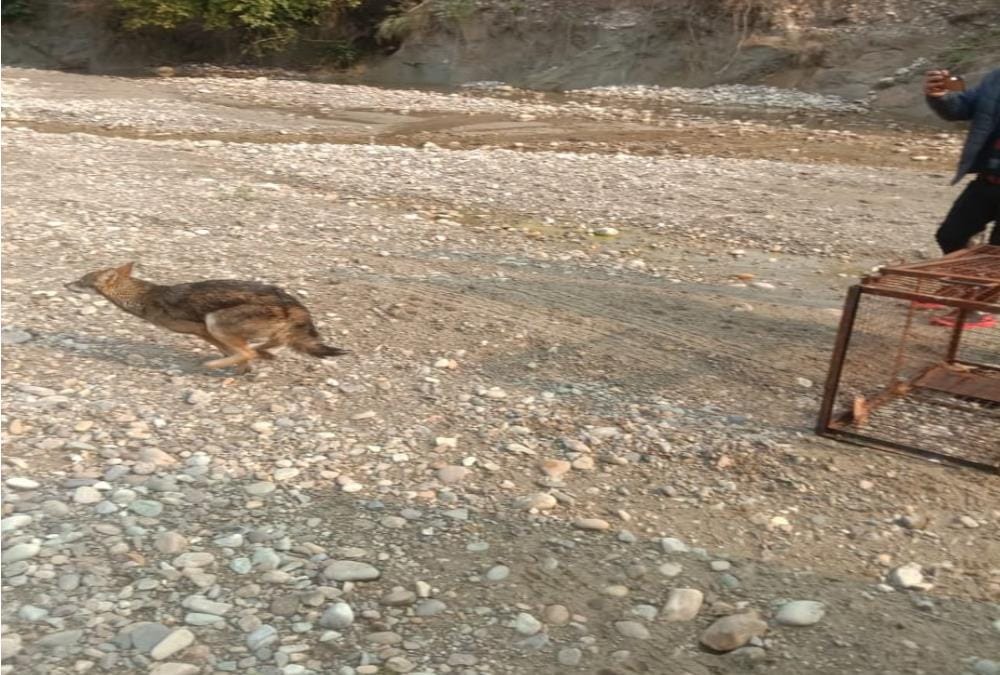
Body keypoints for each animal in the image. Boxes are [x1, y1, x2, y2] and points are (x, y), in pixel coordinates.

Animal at [66, 262, 347, 373]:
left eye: (81, 281)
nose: (65, 283)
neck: (142, 296)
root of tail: (290, 301)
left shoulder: (201, 330)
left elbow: (235, 352)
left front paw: (237, 365)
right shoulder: (206, 333)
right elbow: (238, 352)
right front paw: (246, 366)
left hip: (216, 320)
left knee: (250, 349)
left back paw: (214, 364)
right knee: (271, 344)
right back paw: (261, 354)